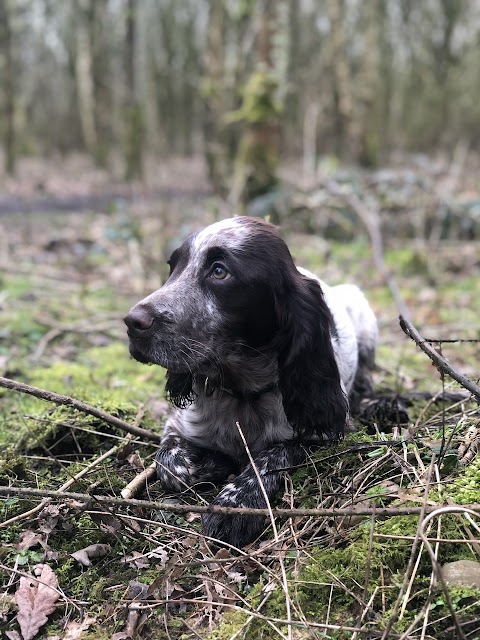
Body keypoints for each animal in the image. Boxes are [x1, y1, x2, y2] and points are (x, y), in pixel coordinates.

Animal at [124, 218, 378, 548]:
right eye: (173, 267)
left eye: (219, 271)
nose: (132, 322)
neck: (242, 393)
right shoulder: (176, 425)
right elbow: (172, 465)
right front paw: (214, 462)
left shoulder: (322, 433)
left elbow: (273, 455)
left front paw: (235, 505)